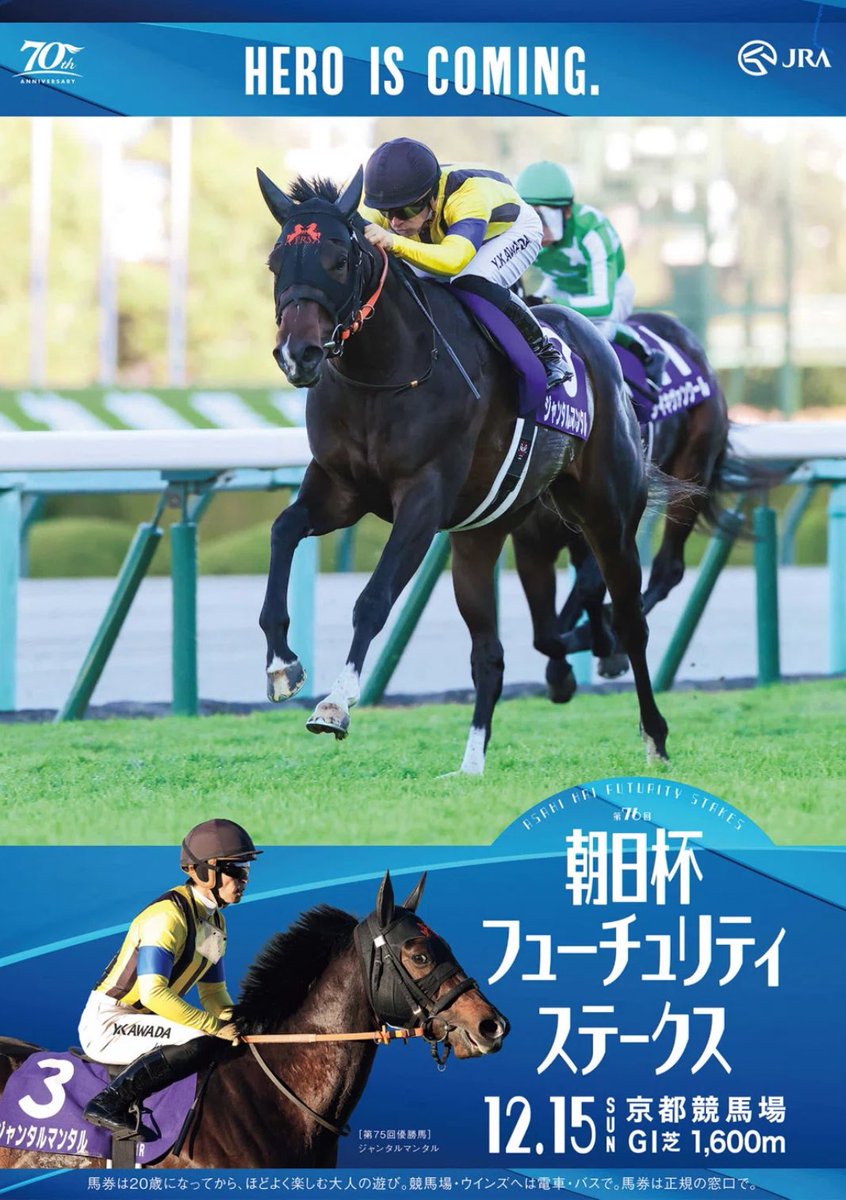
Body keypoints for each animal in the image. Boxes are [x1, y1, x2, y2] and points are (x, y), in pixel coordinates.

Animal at [255, 167, 673, 772]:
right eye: (275, 262)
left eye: (338, 260)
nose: (298, 354)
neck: (382, 375)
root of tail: (601, 347)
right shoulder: (339, 490)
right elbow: (283, 531)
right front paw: (282, 664)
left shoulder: (423, 499)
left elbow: (373, 600)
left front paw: (335, 704)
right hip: (482, 534)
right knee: (489, 653)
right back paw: (472, 763)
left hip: (608, 517)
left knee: (630, 622)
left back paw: (653, 735)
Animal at [511, 311, 763, 703]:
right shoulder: (536, 532)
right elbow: (559, 619)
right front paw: (564, 668)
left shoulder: (602, 520)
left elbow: (589, 588)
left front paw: (598, 644)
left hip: (692, 472)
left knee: (668, 568)